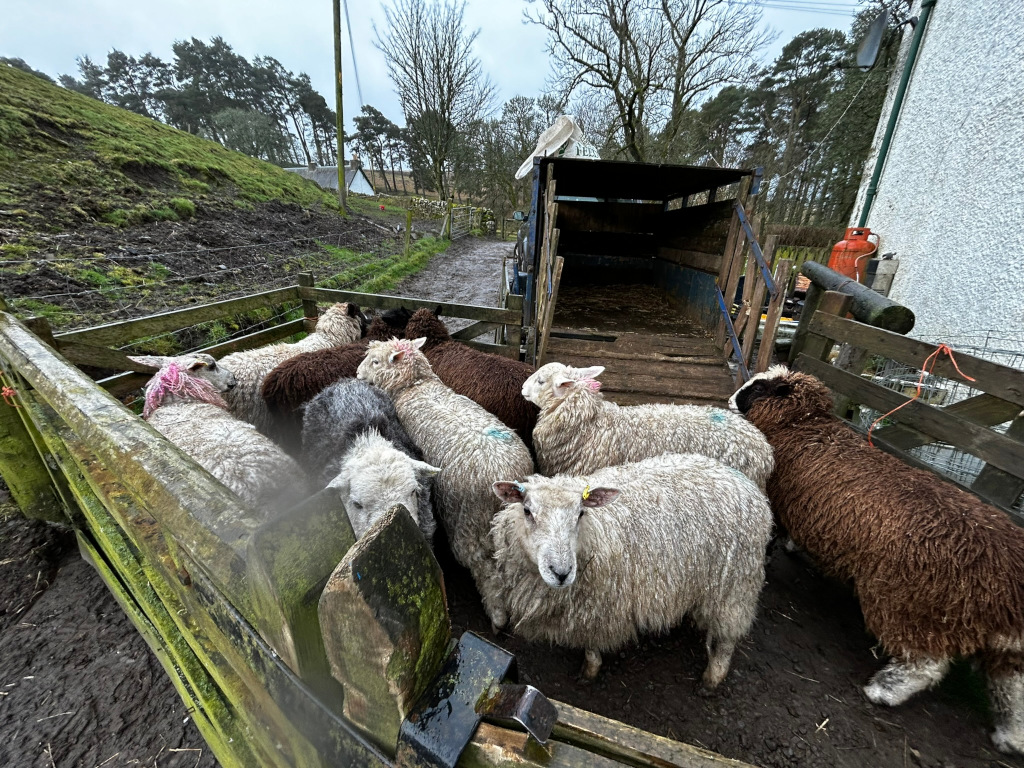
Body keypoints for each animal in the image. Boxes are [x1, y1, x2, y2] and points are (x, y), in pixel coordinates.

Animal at [356, 337, 534, 629]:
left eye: (375, 361)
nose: (357, 375)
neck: (414, 387)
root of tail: (506, 477)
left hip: (468, 523)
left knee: (482, 566)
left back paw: (497, 616)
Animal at [490, 452, 772, 685]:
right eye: (527, 511)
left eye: (581, 513)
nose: (561, 572)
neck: (596, 532)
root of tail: (746, 484)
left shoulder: (600, 608)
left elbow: (592, 645)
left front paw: (589, 671)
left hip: (735, 584)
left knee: (727, 635)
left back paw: (712, 678)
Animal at [729, 365, 1024, 754]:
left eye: (759, 388)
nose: (732, 398)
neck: (802, 425)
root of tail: (1007, 578)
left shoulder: (778, 500)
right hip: (1002, 642)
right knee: (1013, 687)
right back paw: (1011, 737)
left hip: (908, 604)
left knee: (925, 664)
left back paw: (883, 691)